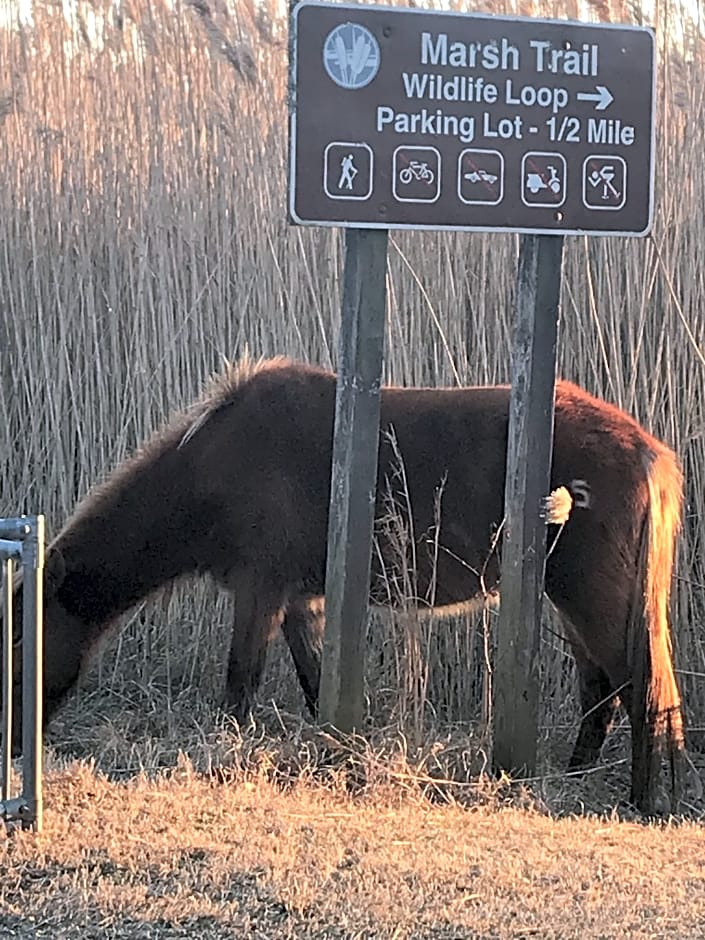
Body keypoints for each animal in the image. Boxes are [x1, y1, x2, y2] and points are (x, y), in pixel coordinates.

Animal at [8, 358, 684, 808]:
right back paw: (573, 782)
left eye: (20, 640)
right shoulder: (298, 601)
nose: (12, 742)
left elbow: (239, 682)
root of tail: (651, 452)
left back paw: (641, 805)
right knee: (602, 691)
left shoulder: (261, 588)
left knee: (642, 691)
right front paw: (337, 757)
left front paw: (225, 759)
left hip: (593, 597)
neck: (211, 466)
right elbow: (315, 686)